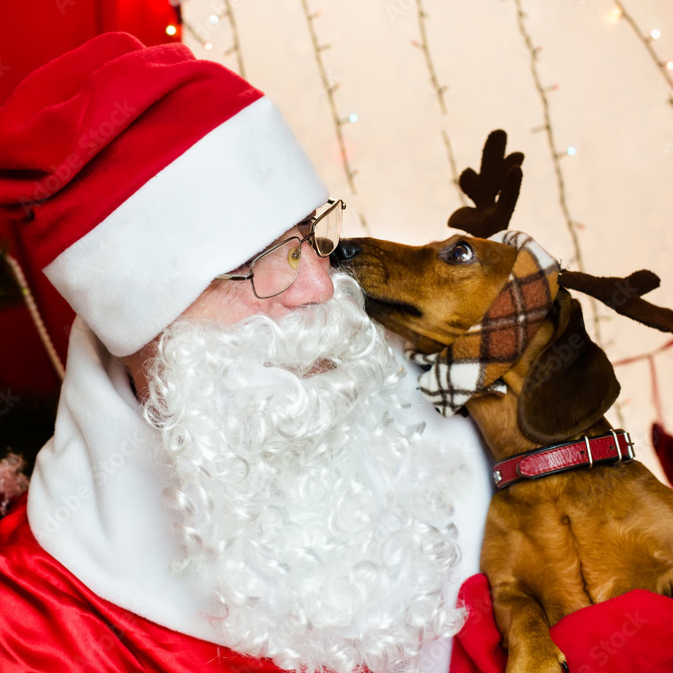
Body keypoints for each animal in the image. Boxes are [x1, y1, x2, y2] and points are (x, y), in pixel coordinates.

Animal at [334, 131, 672, 672]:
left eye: (459, 252)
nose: (339, 247)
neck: (550, 472)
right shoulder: (503, 585)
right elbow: (524, 611)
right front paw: (535, 659)